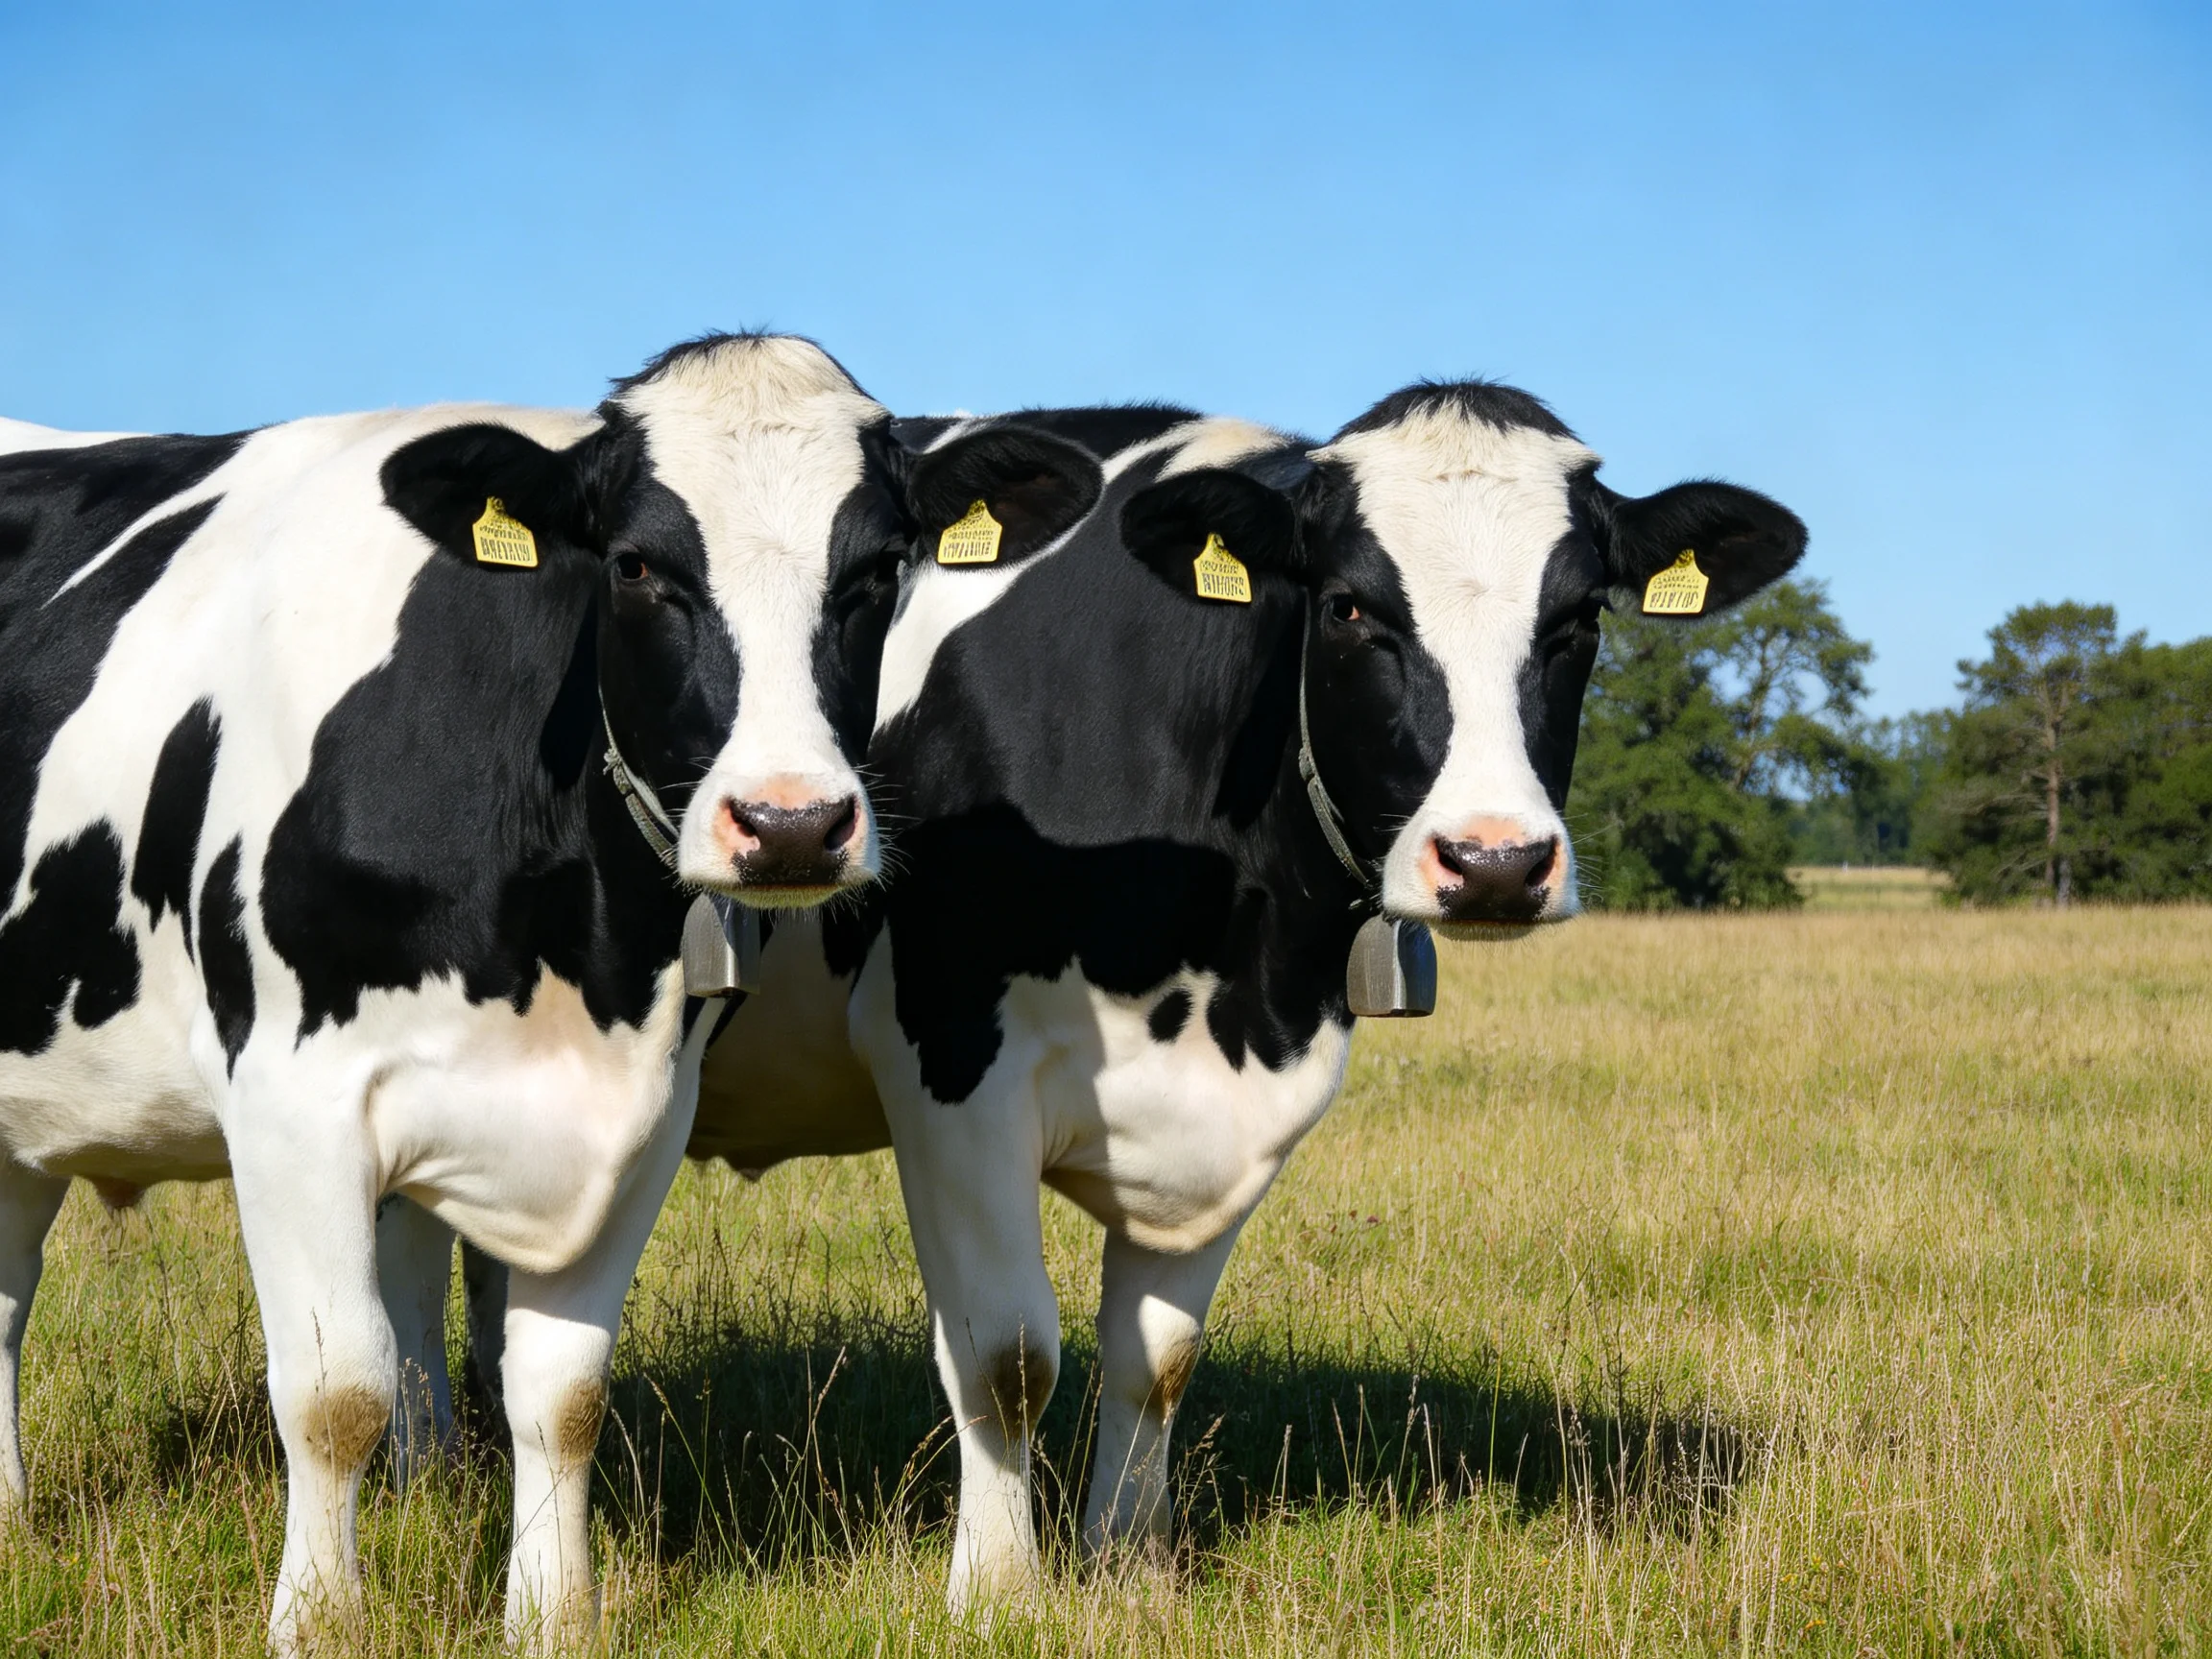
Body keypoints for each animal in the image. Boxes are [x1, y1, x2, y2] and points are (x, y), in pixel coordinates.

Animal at [0, 338, 1101, 1651]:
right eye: (636, 565)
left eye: (881, 567)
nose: (790, 824)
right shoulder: (289, 1103)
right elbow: (334, 1394)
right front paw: (317, 1621)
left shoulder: (643, 1111)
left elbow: (560, 1389)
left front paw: (552, 1615)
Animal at [406, 382, 1806, 1610]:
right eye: (1352, 607)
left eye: (1576, 623)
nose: (1498, 862)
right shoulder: (950, 1064)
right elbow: (1006, 1353)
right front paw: (997, 1589)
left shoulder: (1245, 1096)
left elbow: (1160, 1358)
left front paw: (1128, 1566)